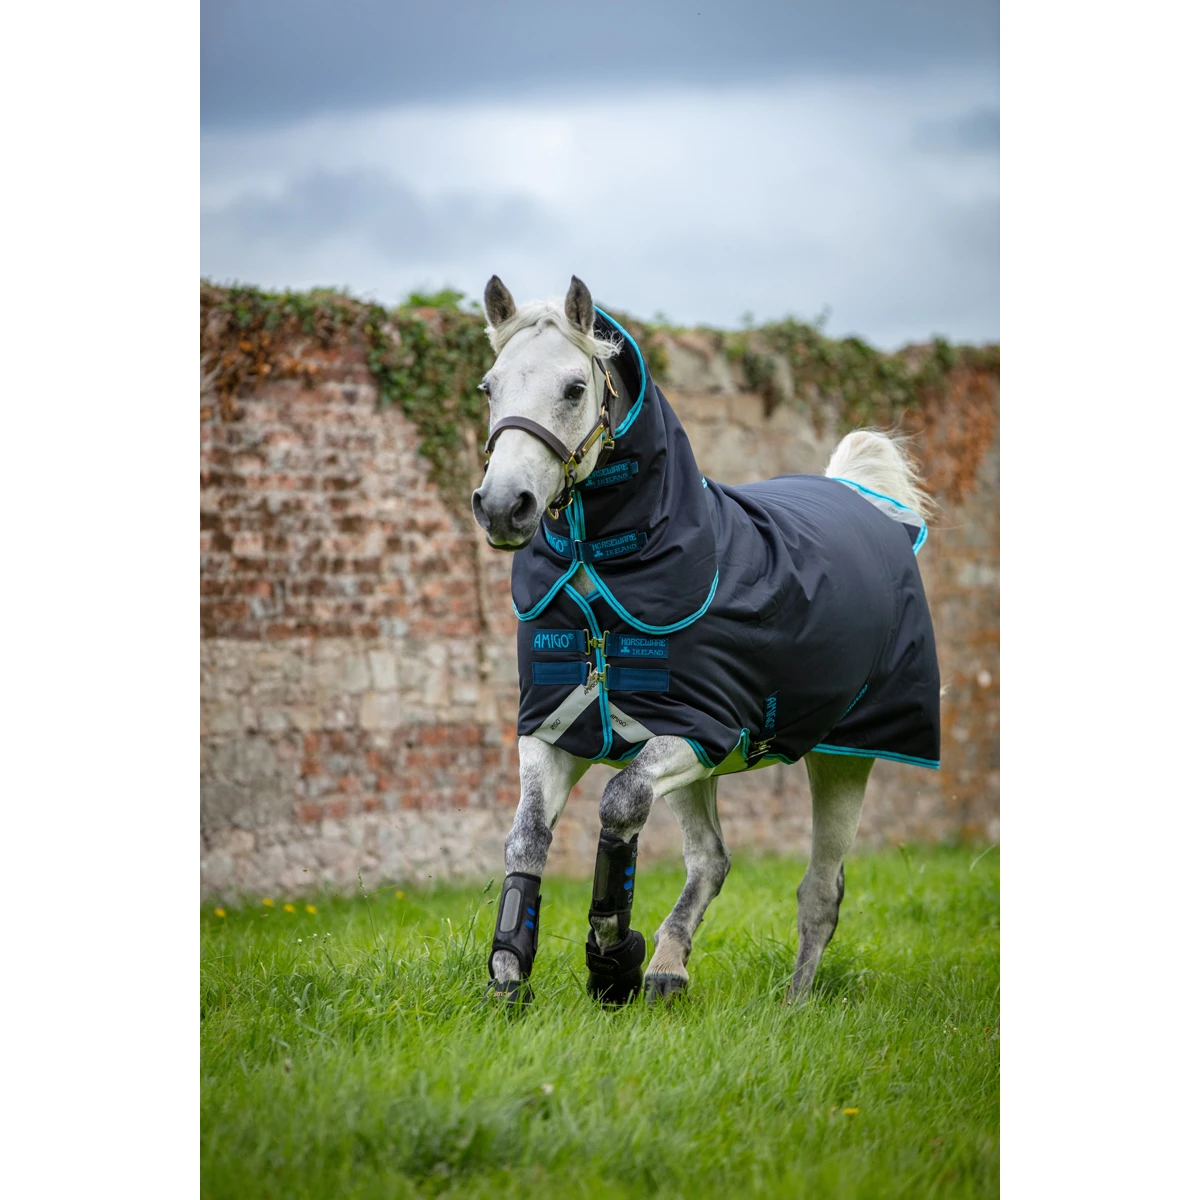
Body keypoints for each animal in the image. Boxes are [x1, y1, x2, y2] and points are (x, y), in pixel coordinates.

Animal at [471, 274, 940, 1005]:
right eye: (490, 387)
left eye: (575, 387)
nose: (501, 506)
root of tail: (861, 497)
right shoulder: (555, 728)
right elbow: (526, 839)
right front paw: (510, 974)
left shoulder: (700, 729)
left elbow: (619, 804)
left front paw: (611, 958)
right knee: (711, 860)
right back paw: (668, 968)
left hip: (845, 756)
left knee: (820, 891)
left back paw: (792, 1004)